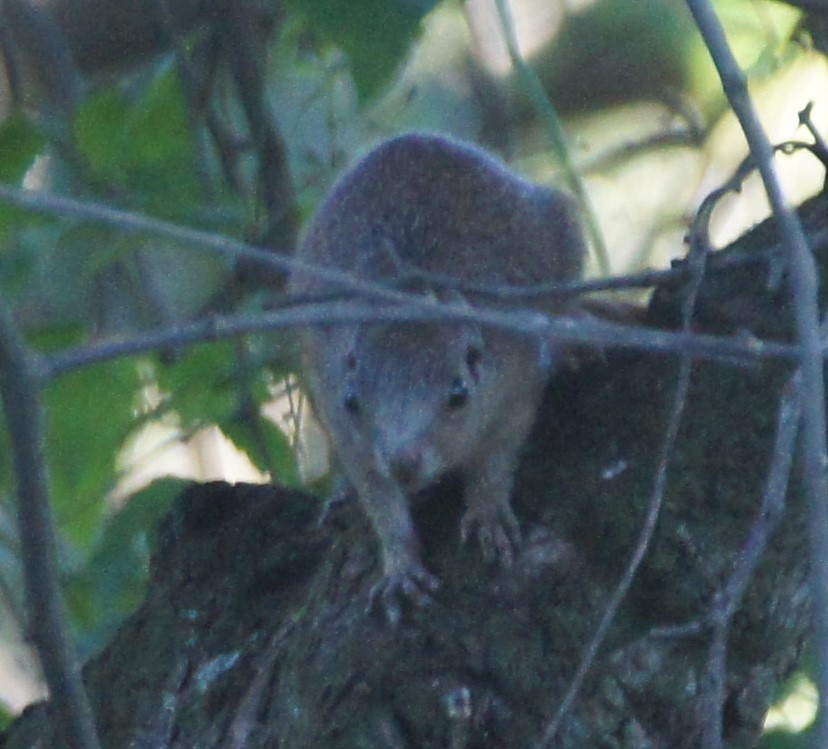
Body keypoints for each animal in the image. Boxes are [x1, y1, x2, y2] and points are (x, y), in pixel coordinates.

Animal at [288, 133, 584, 620]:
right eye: (352, 401)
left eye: (459, 394)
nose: (402, 463)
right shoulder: (345, 425)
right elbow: (379, 499)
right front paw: (400, 566)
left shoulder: (516, 382)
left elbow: (496, 459)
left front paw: (488, 514)